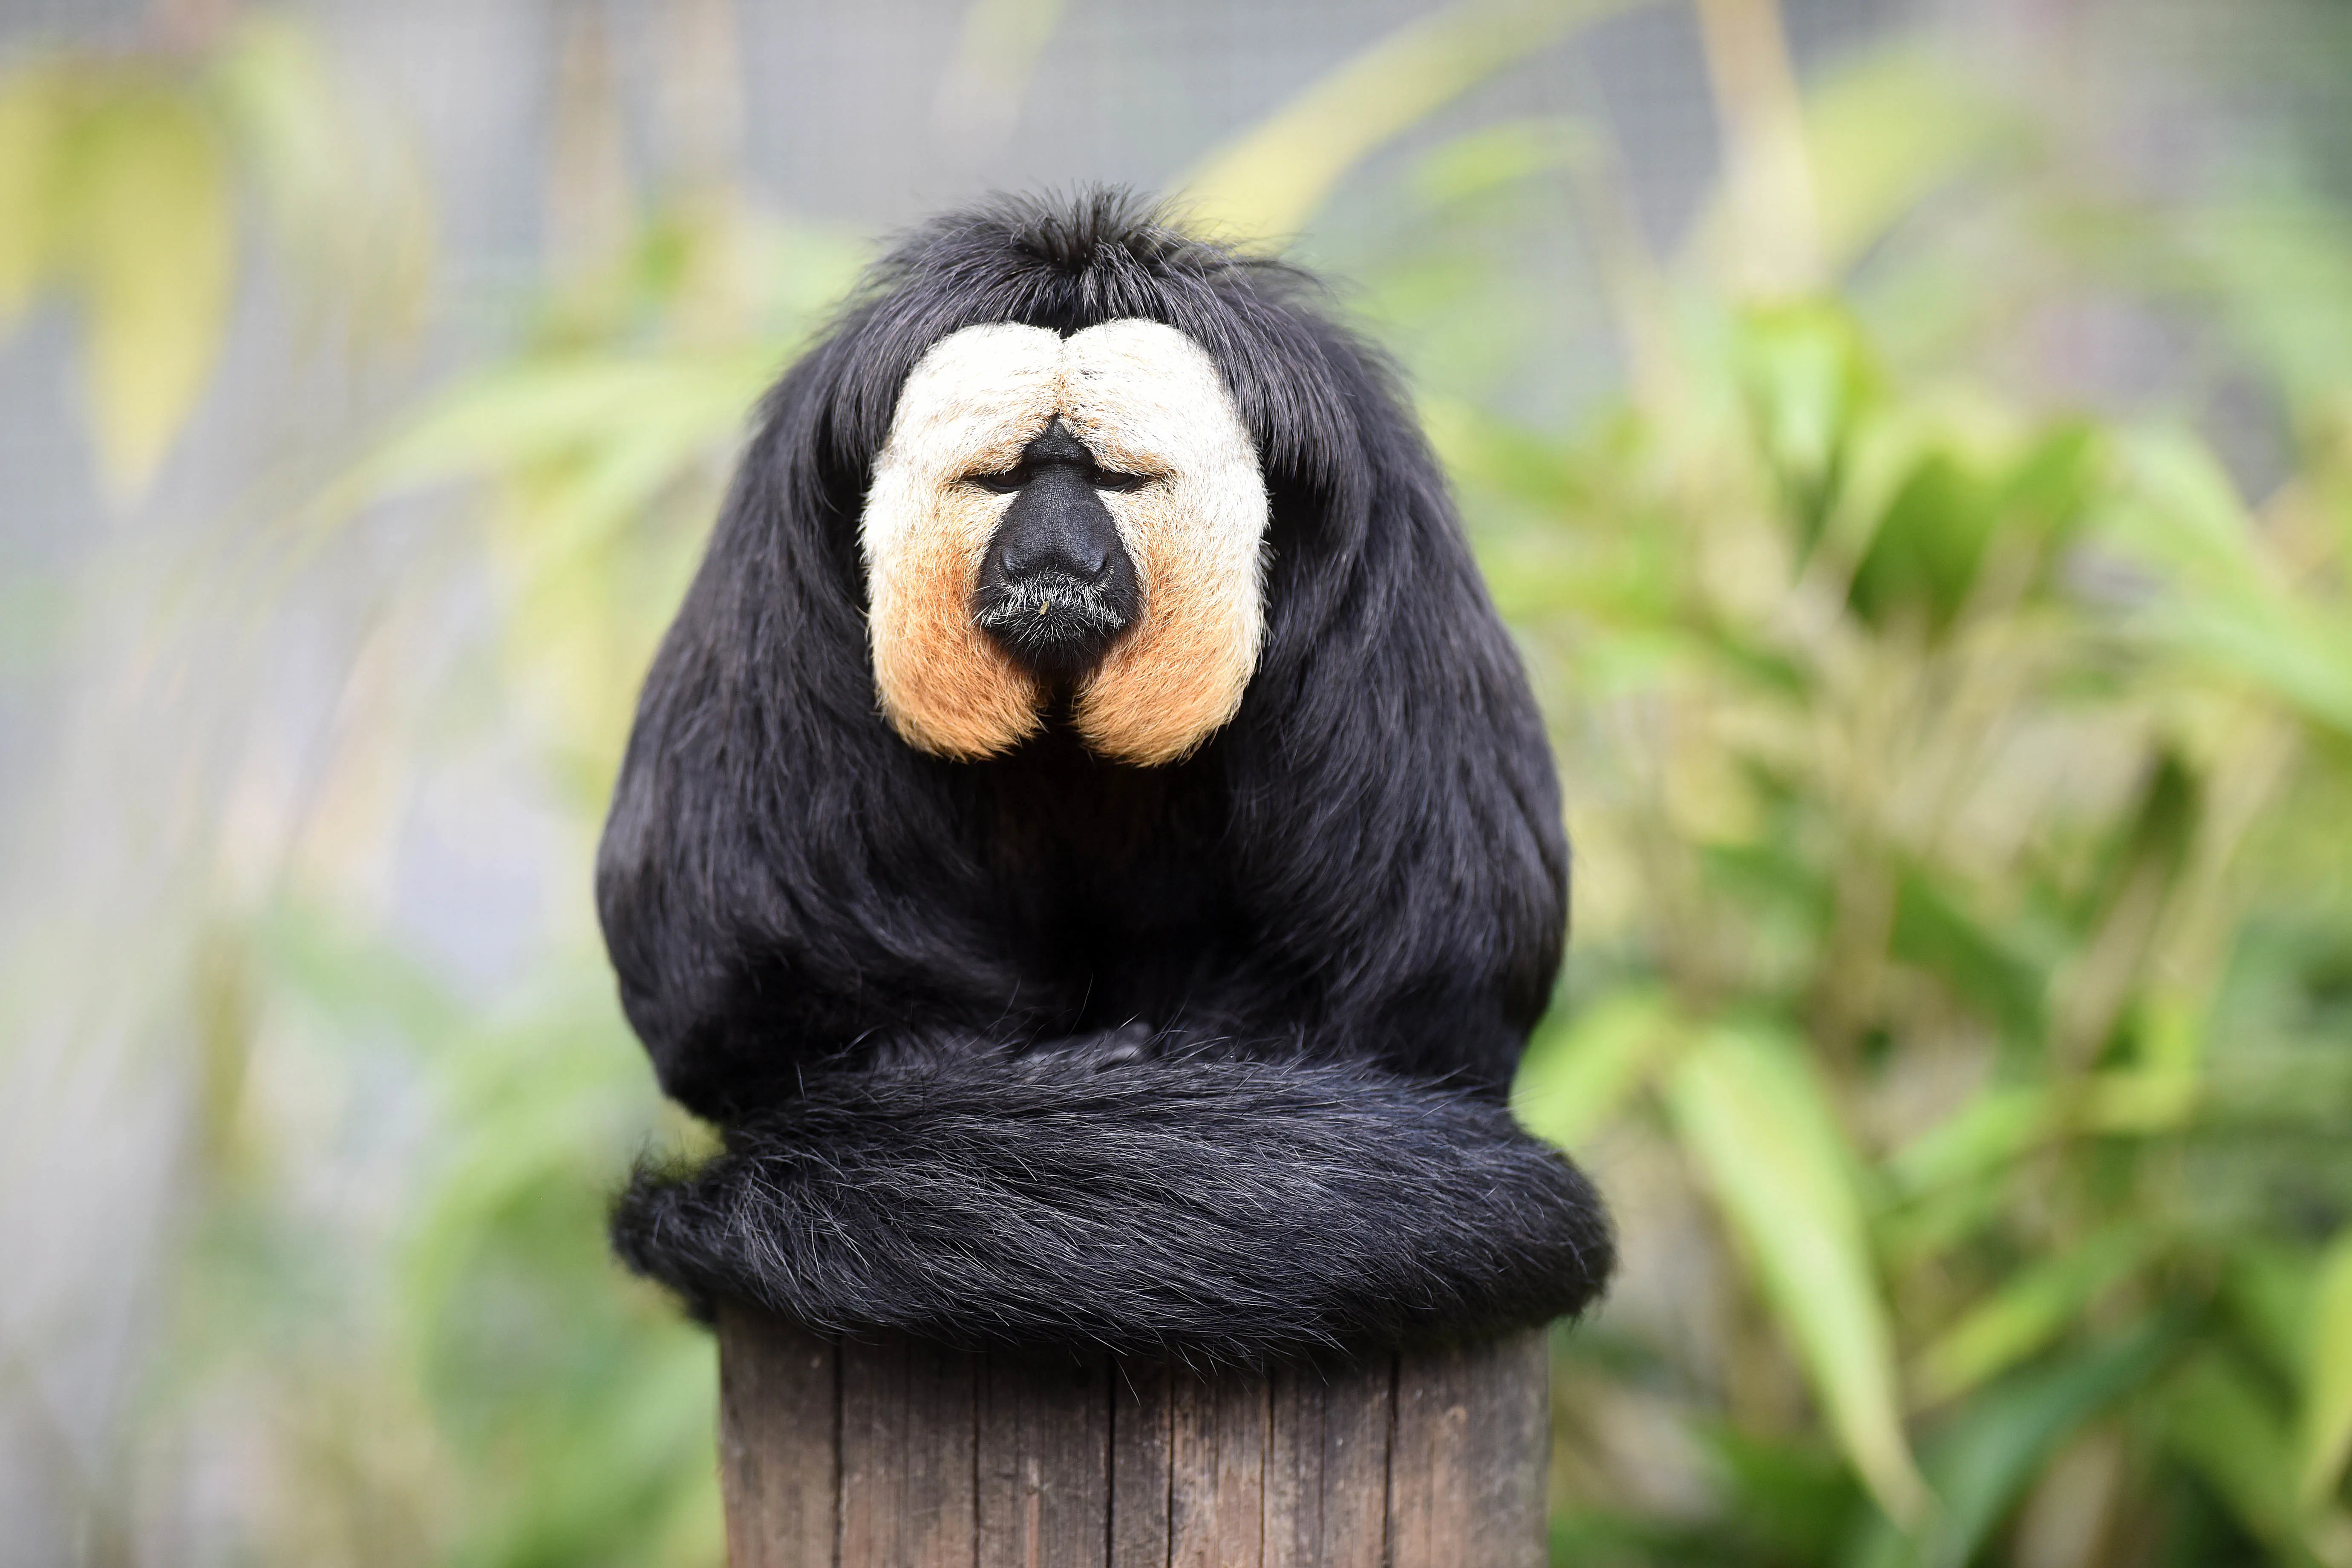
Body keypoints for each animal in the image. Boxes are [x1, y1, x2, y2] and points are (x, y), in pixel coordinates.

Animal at [602, 189, 1612, 1362]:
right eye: (1002, 480)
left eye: (1112, 481)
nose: (1057, 555)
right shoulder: (787, 561)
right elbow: (741, 986)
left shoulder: (1375, 553)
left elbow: (1428, 979)